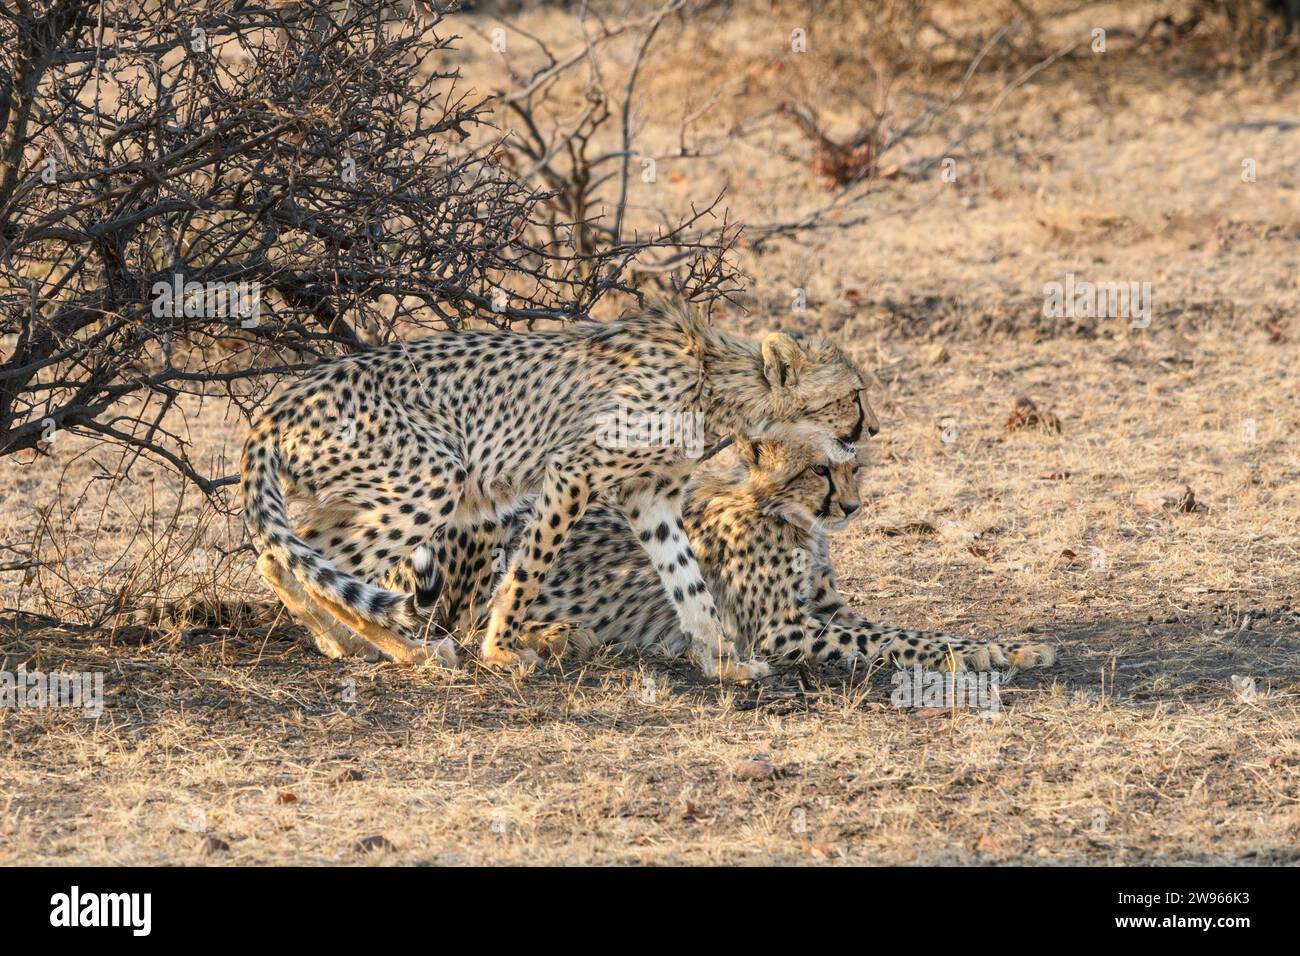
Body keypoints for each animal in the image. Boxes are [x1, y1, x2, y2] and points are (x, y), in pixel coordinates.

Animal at [240, 299, 878, 681]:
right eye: (853, 395)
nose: (872, 427)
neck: (709, 376)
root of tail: (277, 406)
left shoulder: (649, 496)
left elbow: (687, 578)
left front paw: (723, 662)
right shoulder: (574, 471)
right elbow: (529, 570)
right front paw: (500, 648)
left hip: (366, 494)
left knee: (286, 555)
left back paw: (338, 638)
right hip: (435, 478)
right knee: (308, 562)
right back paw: (412, 650)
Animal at [421, 434, 1060, 671]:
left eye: (853, 465)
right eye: (819, 470)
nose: (853, 508)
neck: (786, 515)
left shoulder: (827, 610)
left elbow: (911, 629)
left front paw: (1013, 647)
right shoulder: (779, 629)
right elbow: (900, 640)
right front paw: (981, 656)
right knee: (465, 621)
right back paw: (552, 635)